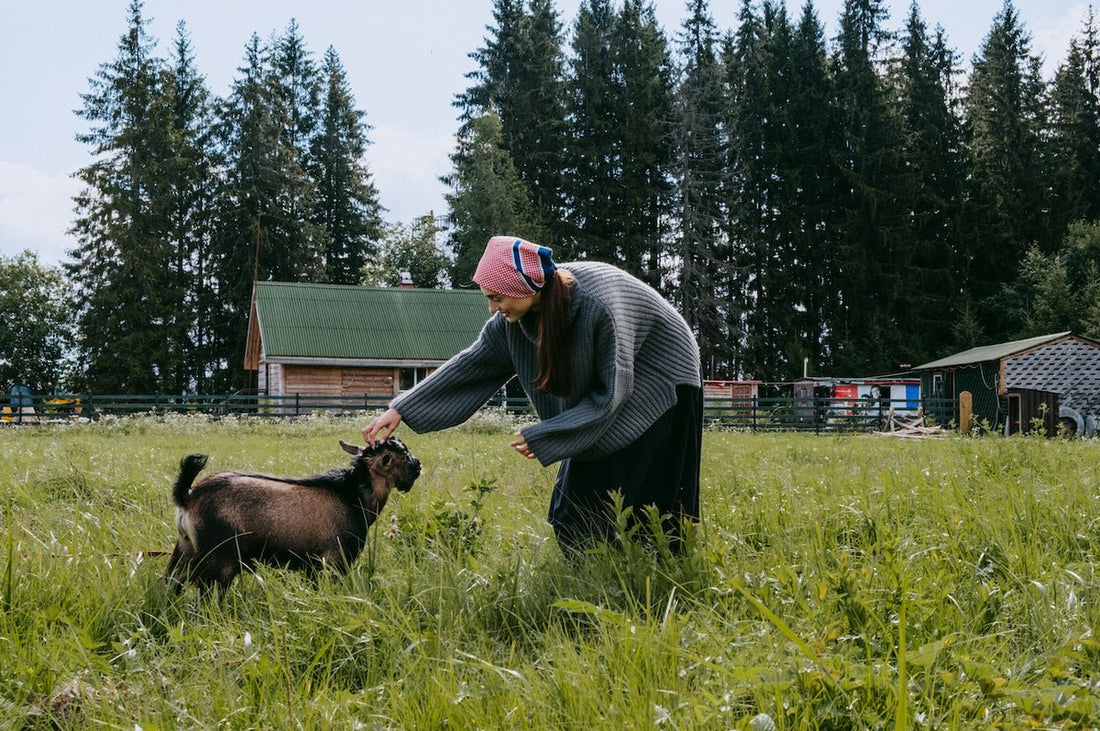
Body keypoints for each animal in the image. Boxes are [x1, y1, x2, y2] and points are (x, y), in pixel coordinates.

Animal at [163, 435, 420, 597]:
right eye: (403, 454)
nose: (418, 465)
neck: (353, 496)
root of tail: (189, 496)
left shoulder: (311, 566)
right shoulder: (333, 561)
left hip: (185, 550)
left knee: (171, 582)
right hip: (220, 559)